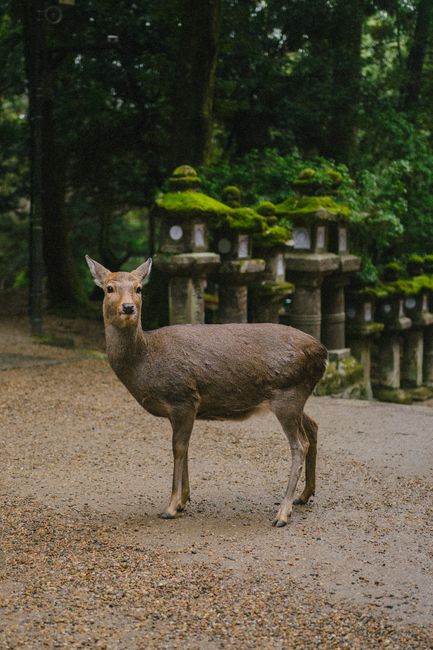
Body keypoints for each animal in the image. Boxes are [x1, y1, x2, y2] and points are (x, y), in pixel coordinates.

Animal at [85, 255, 328, 527]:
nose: (128, 307)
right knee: (313, 426)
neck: (145, 361)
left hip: (288, 394)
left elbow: (178, 448)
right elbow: (185, 447)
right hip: (297, 395)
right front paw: (183, 500)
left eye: (139, 288)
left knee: (300, 444)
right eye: (109, 288)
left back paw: (283, 512)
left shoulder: (182, 397)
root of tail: (323, 353)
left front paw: (171, 506)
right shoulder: (182, 408)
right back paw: (304, 495)